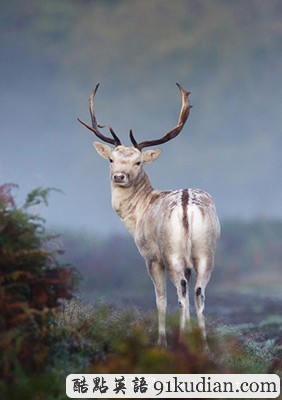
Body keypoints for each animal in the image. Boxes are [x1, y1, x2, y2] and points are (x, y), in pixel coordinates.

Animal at [77, 83, 220, 346]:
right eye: (111, 159)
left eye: (138, 162)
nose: (119, 176)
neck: (138, 214)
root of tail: (186, 205)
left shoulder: (150, 255)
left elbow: (160, 298)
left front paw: (161, 341)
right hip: (206, 250)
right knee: (198, 293)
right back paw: (203, 346)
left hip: (172, 252)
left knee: (180, 293)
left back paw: (182, 340)